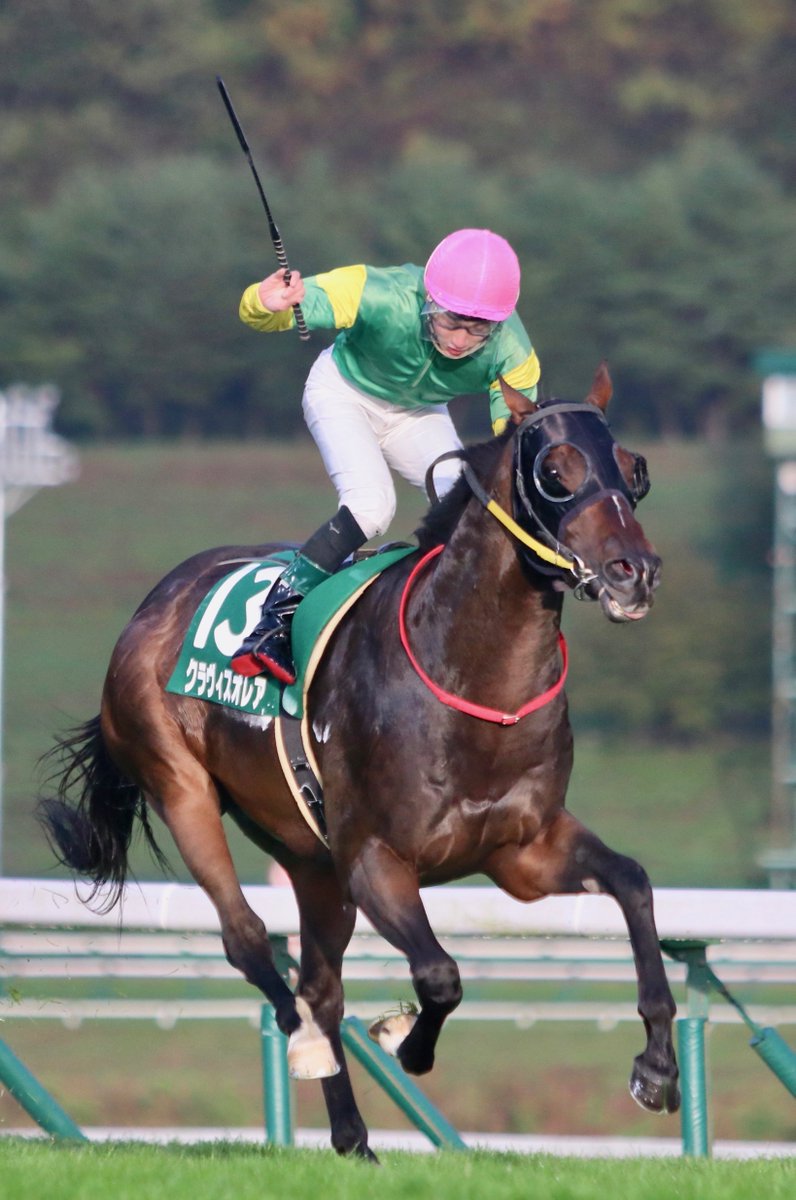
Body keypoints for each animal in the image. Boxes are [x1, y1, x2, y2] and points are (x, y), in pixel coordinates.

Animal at [39, 365, 679, 1160]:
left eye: (634, 470)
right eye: (555, 471)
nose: (634, 572)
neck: (473, 678)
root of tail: (154, 604)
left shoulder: (523, 852)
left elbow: (633, 883)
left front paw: (656, 1068)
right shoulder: (375, 856)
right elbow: (439, 974)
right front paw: (408, 1041)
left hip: (309, 860)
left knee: (319, 982)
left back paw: (352, 1138)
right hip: (181, 788)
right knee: (251, 945)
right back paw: (311, 1048)